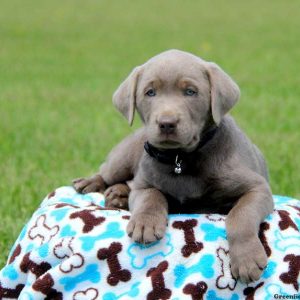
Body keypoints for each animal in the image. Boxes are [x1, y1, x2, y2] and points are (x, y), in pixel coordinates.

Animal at [73, 49, 274, 284]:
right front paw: (145, 223)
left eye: (190, 92)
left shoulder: (258, 188)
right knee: (107, 173)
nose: (167, 123)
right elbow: (151, 196)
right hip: (122, 157)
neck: (181, 158)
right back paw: (92, 184)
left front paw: (246, 259)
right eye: (150, 92)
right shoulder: (144, 184)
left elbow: (240, 216)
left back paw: (118, 195)